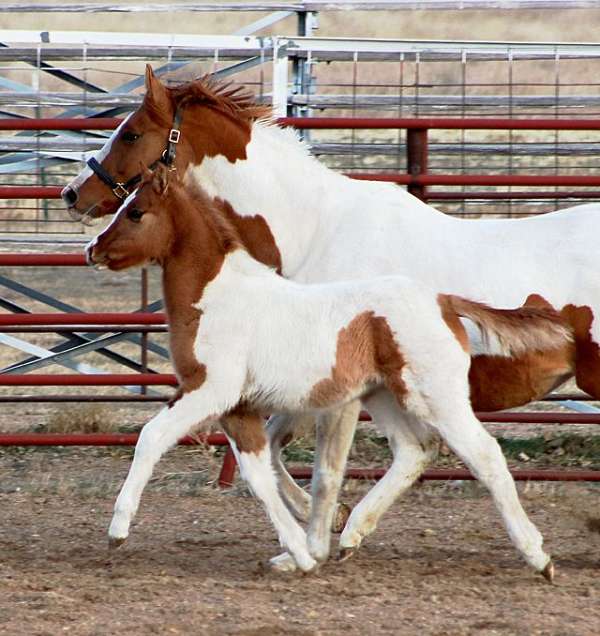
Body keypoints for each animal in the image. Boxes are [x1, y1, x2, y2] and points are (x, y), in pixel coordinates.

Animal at [64, 66, 592, 572]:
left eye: (131, 132)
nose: (72, 194)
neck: (317, 227)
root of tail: (445, 303)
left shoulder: (329, 392)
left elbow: (323, 471)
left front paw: (314, 542)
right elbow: (272, 453)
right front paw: (315, 533)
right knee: (418, 450)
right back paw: (357, 533)